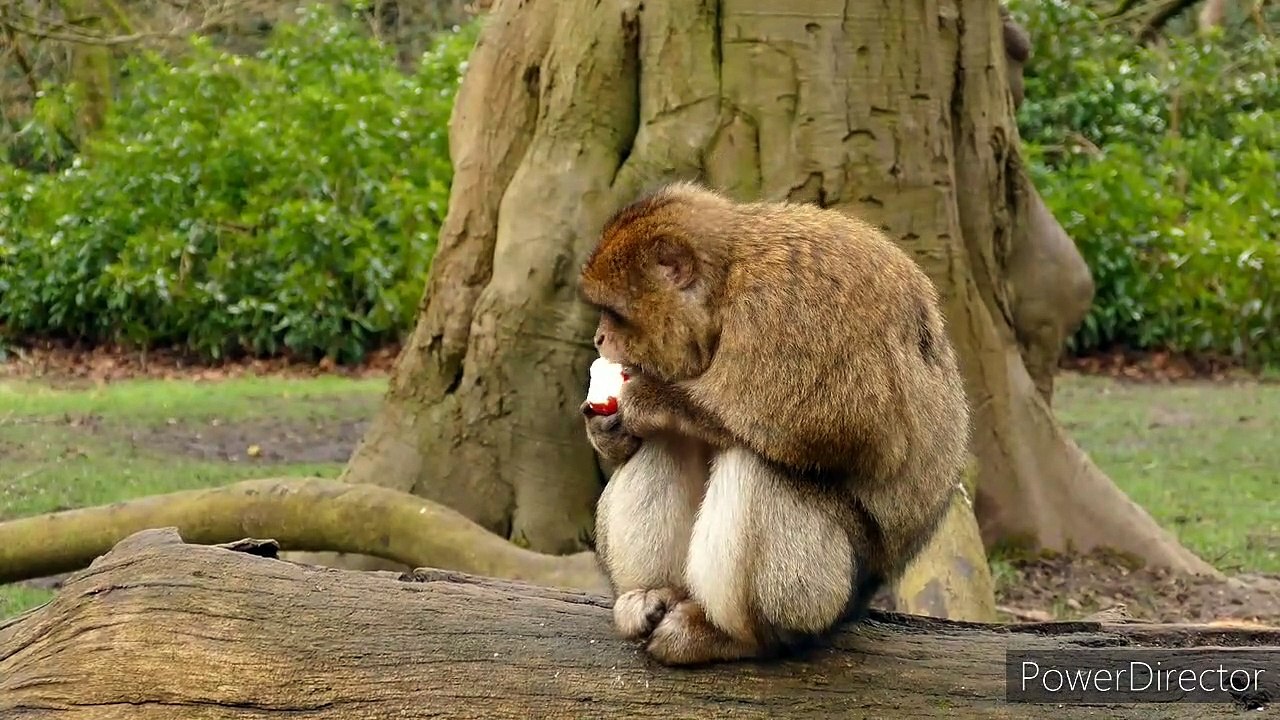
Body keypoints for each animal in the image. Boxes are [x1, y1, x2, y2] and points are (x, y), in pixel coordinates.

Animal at [577, 182, 971, 666]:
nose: (599, 337)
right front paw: (609, 432)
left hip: (829, 596)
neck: (724, 288)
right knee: (671, 444)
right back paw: (653, 595)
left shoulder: (782, 307)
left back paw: (733, 636)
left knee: (757, 467)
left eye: (614, 313)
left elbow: (845, 427)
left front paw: (648, 401)